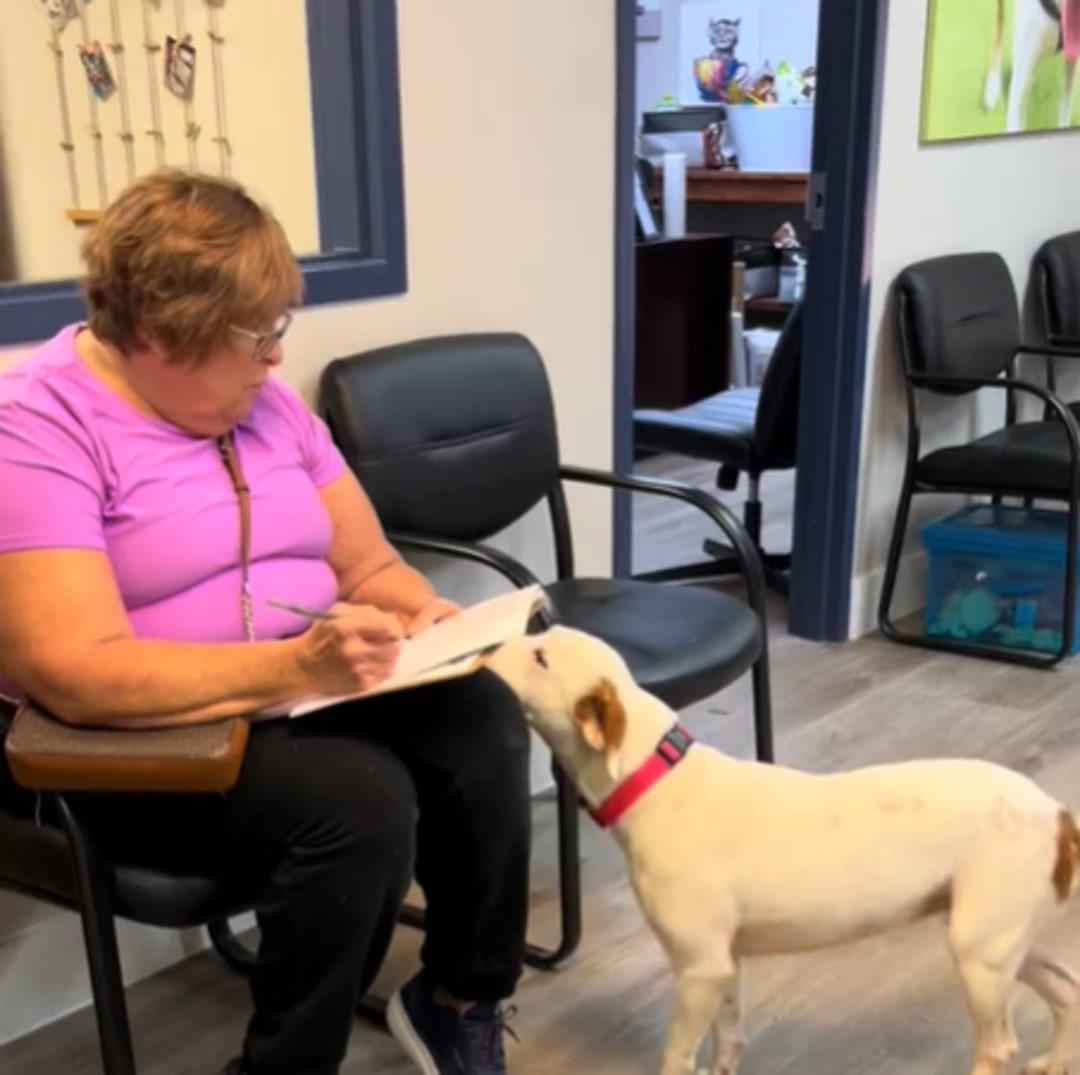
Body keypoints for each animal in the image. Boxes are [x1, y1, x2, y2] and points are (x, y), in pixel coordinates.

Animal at [488, 626, 1080, 1075]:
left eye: (539, 656)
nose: (488, 641)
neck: (654, 775)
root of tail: (1053, 809)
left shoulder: (698, 969)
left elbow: (677, 1057)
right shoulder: (725, 965)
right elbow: (729, 1041)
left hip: (980, 953)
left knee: (998, 1045)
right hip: (1006, 941)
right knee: (1068, 989)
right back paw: (1055, 1061)